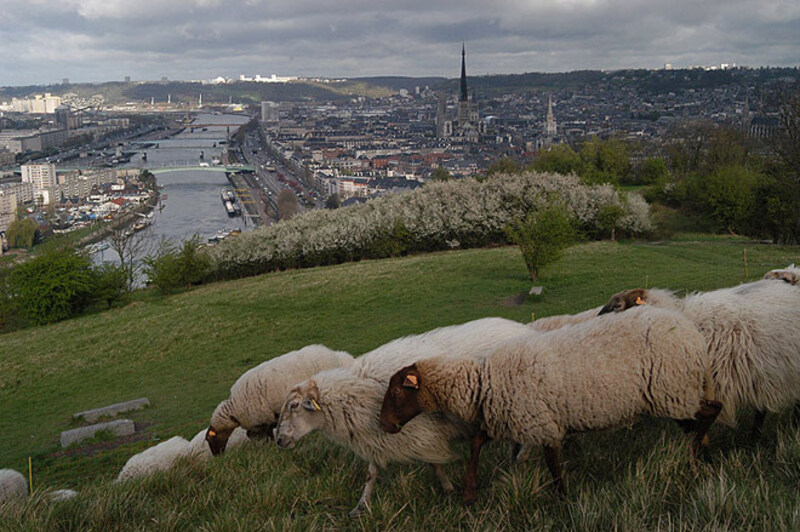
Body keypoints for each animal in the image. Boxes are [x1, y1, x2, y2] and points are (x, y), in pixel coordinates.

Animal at [206, 348, 354, 456]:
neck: (234, 409)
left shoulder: (263, 421)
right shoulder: (259, 424)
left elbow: (267, 437)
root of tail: (333, 354)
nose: (217, 456)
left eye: (210, 438)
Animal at [276, 316, 532, 516]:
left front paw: (449, 489)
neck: (353, 393)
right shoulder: (378, 437)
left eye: (295, 405)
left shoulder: (421, 433)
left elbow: (434, 464)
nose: (278, 440)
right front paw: (361, 506)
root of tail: (523, 328)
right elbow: (371, 474)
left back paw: (519, 460)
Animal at [378, 308, 720, 502]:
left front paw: (562, 501)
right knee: (701, 416)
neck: (482, 383)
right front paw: (469, 492)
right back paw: (703, 452)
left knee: (710, 412)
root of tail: (694, 336)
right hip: (673, 394)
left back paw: (695, 454)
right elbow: (476, 443)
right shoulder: (507, 416)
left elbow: (554, 464)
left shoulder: (540, 422)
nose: (383, 425)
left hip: (671, 390)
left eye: (395, 392)